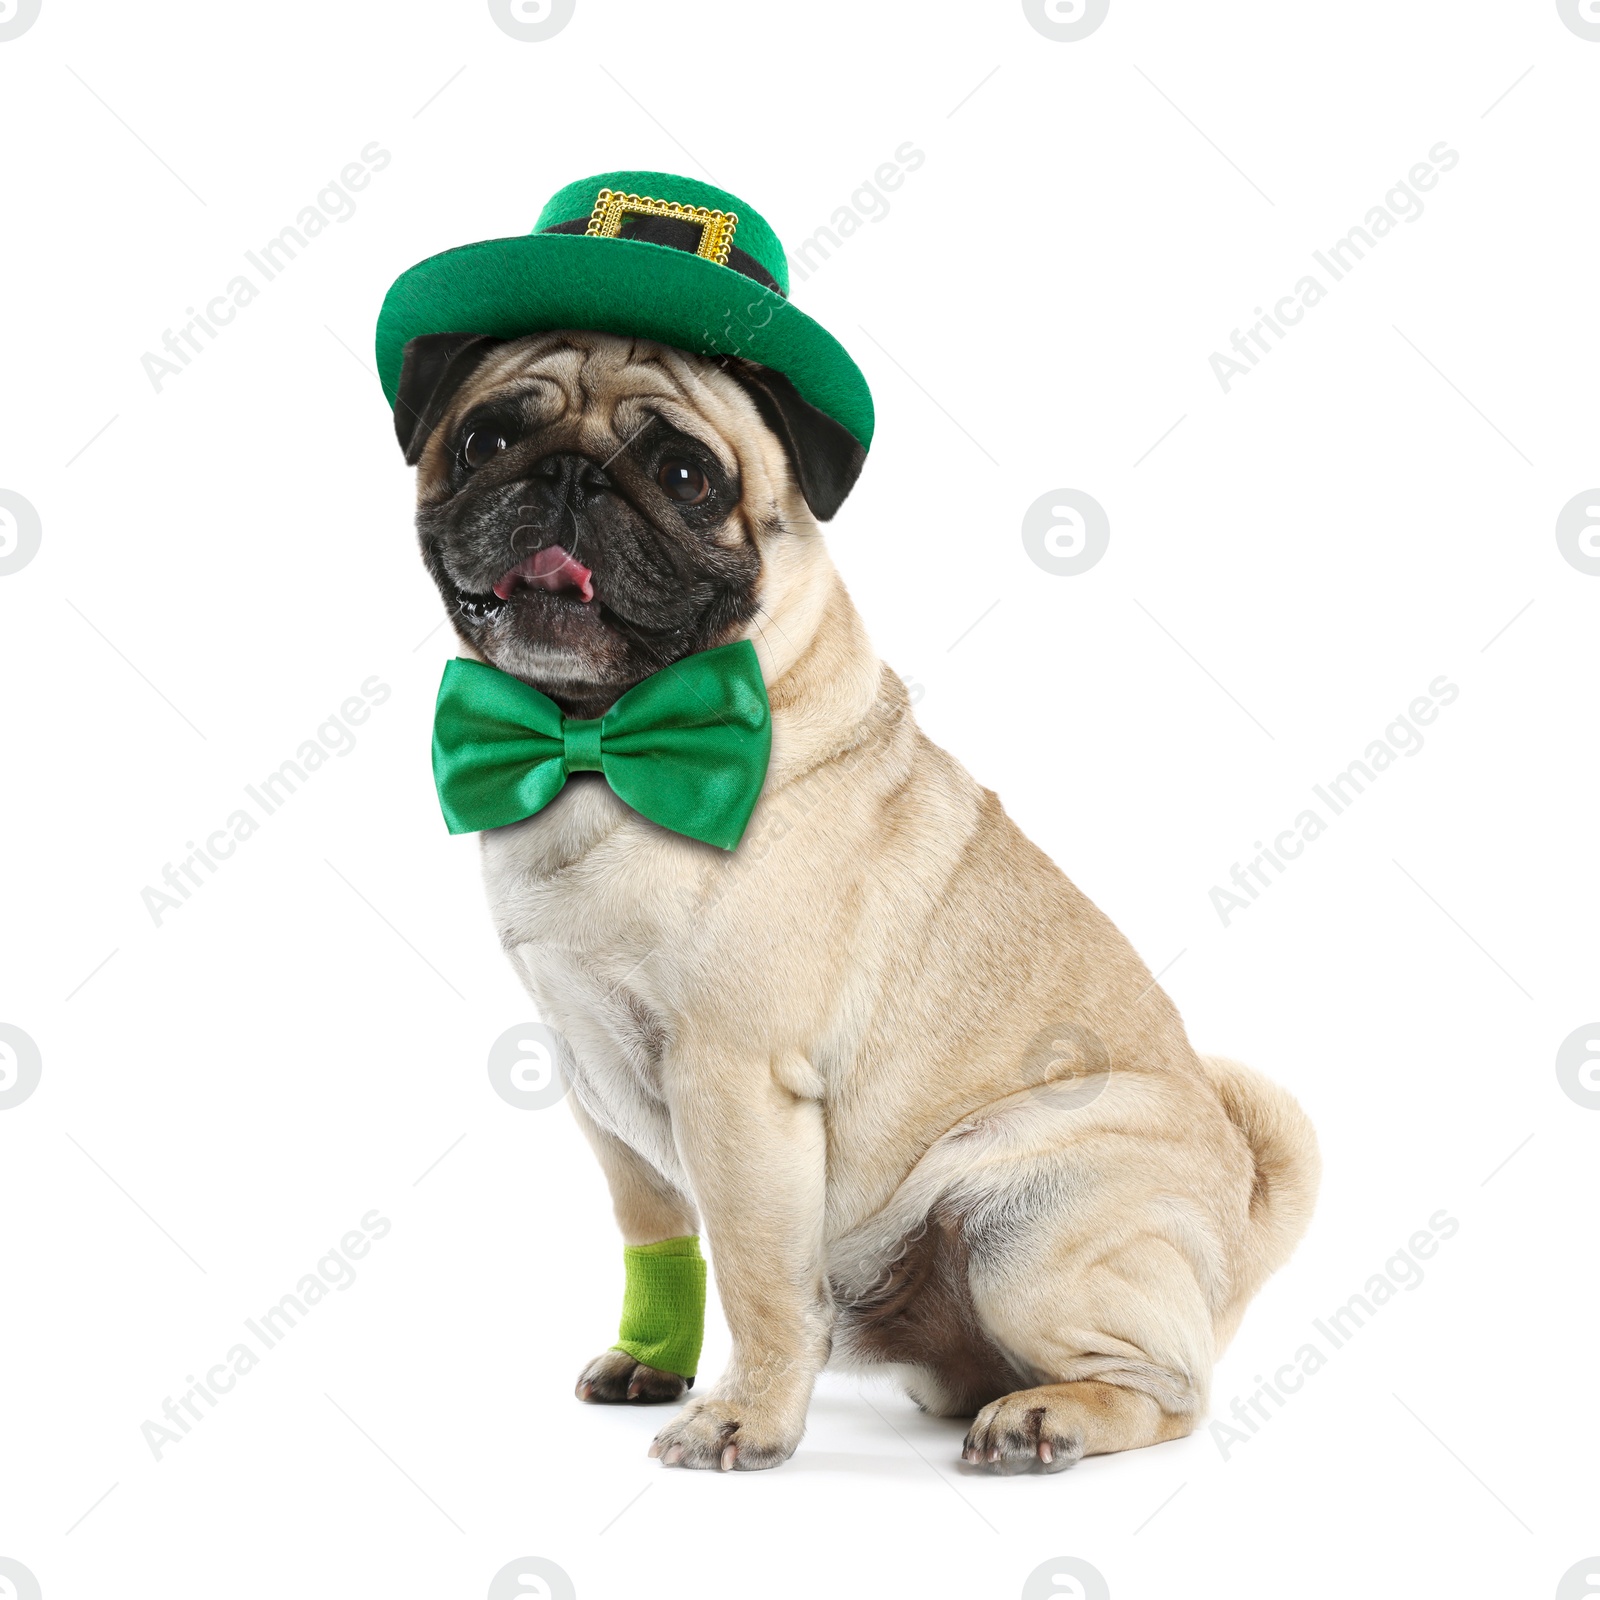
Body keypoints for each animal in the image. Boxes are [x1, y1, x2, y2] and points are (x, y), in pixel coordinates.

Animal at [393, 334, 1318, 1472]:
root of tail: (1240, 1216)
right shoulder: (593, 1079)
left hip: (1022, 1223)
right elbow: (655, 1228)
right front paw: (653, 1360)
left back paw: (1046, 1418)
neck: (600, 741)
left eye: (686, 476)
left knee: (1171, 1389)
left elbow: (757, 1277)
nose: (569, 475)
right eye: (485, 440)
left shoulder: (733, 1083)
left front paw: (745, 1419)